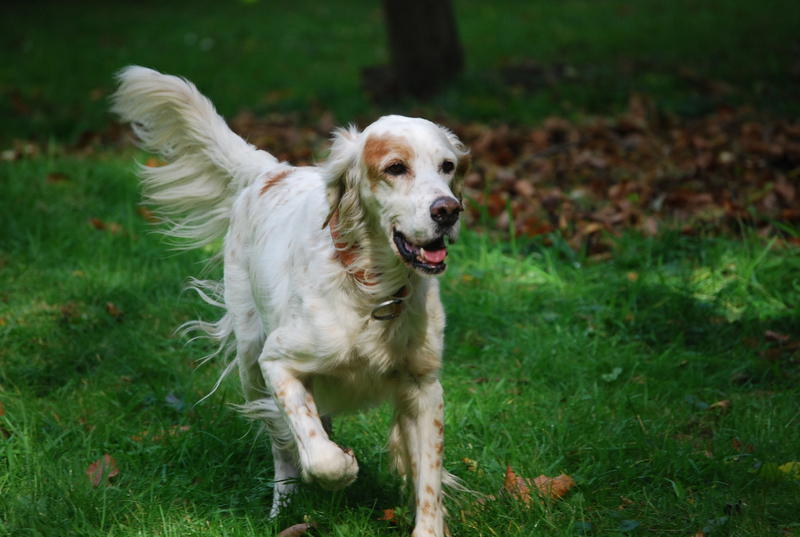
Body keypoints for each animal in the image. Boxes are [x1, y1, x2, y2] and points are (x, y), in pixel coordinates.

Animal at [112, 67, 468, 536]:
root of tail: (272, 170)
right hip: (250, 358)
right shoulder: (277, 361)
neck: (372, 291)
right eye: (396, 168)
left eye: (447, 166)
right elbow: (319, 456)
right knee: (283, 446)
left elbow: (428, 482)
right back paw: (282, 509)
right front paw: (342, 467)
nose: (448, 210)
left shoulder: (424, 387)